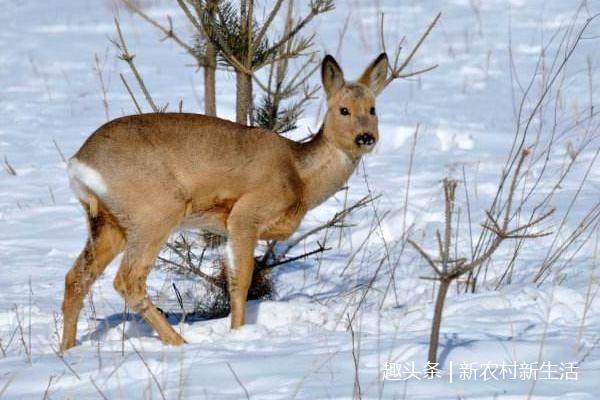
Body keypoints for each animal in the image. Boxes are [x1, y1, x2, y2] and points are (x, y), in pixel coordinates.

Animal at [61, 52, 390, 350]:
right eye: (343, 110)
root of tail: (79, 164)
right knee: (127, 280)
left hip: (109, 223)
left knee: (76, 278)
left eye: (373, 108)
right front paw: (238, 333)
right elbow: (240, 281)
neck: (300, 177)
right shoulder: (245, 214)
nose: (365, 137)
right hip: (155, 211)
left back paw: (67, 349)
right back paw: (179, 342)